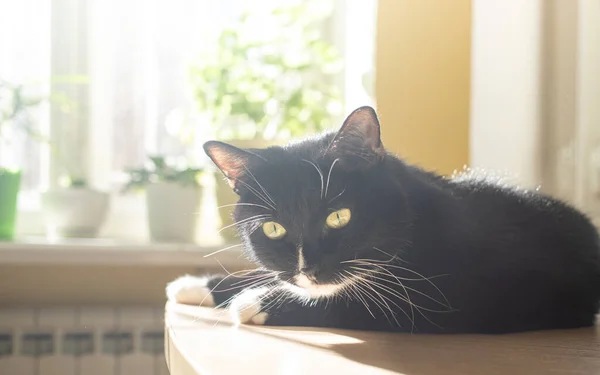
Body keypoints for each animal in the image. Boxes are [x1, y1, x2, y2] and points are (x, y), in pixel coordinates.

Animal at [166, 106, 600, 334]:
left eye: (339, 217)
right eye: (274, 229)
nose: (309, 271)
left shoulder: (451, 296)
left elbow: (369, 302)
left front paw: (258, 301)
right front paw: (200, 284)